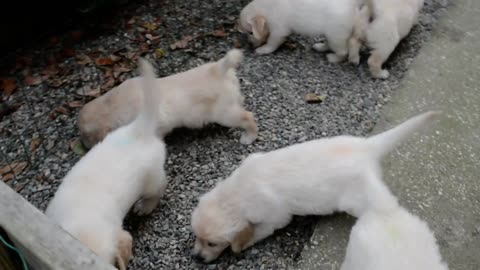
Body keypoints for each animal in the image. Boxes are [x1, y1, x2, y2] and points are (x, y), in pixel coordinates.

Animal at [79, 49, 258, 149]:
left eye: (85, 134)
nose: (83, 146)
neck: (112, 105)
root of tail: (218, 69)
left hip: (225, 114)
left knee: (248, 117)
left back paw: (248, 137)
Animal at [190, 110, 438, 262]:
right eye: (197, 238)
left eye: (212, 243)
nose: (197, 258)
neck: (235, 193)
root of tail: (366, 147)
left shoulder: (273, 217)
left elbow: (259, 231)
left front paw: (240, 246)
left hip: (355, 199)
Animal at [238, 0, 366, 62]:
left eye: (251, 32)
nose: (249, 44)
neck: (267, 8)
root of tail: (353, 6)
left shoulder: (278, 30)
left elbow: (272, 42)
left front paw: (263, 49)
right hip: (331, 35)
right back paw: (320, 47)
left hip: (336, 36)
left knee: (343, 51)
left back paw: (333, 58)